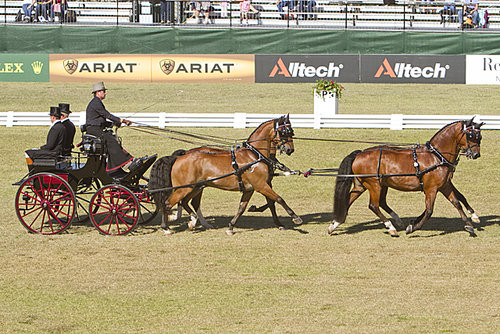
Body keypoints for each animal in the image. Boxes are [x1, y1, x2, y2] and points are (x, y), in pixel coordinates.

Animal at [148, 115, 302, 235]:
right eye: (284, 132)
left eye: (291, 132)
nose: (290, 149)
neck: (254, 155)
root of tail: (179, 157)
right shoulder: (261, 186)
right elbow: (279, 199)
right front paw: (295, 218)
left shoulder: (251, 188)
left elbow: (244, 207)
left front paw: (231, 227)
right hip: (184, 188)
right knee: (168, 203)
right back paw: (166, 228)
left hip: (195, 187)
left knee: (187, 202)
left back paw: (193, 221)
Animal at [330, 118, 482, 237]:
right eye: (470, 135)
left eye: (479, 136)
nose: (476, 155)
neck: (436, 156)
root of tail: (360, 153)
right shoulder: (431, 189)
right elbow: (429, 210)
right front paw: (413, 227)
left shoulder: (444, 185)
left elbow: (456, 202)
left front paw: (469, 225)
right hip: (374, 185)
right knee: (374, 205)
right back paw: (391, 227)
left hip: (366, 185)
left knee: (353, 200)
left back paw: (335, 224)